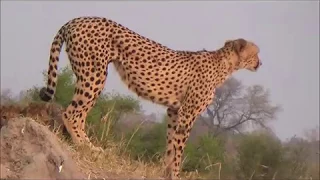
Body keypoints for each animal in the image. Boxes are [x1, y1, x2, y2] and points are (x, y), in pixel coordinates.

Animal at [38, 16, 262, 179]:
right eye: (256, 52)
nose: (261, 63)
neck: (225, 64)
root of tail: (75, 20)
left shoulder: (174, 110)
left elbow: (171, 144)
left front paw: (165, 171)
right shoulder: (188, 113)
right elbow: (179, 148)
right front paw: (175, 174)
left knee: (77, 112)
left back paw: (88, 145)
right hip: (94, 75)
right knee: (72, 113)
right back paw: (85, 146)